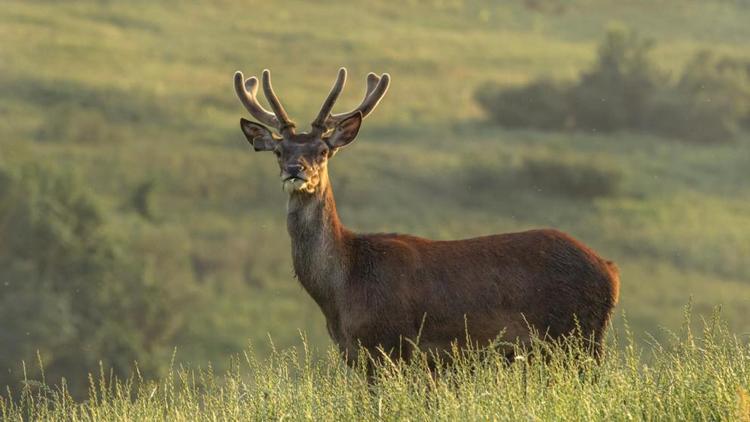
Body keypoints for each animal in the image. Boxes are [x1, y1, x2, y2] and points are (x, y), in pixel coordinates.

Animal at [235, 67, 624, 368]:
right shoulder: (354, 355)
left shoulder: (392, 344)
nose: (295, 170)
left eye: (322, 151)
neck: (342, 288)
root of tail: (610, 271)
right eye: (280, 151)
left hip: (577, 336)